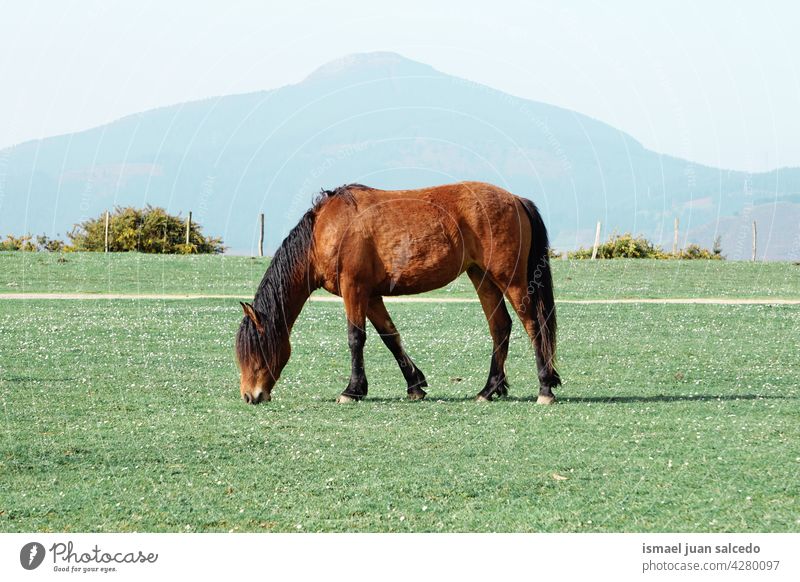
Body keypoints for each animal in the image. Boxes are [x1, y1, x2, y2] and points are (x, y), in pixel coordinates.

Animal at [238, 181, 560, 406]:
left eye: (257, 348)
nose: (250, 396)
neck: (326, 230)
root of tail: (515, 199)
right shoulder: (370, 296)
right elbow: (390, 336)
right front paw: (415, 385)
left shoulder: (354, 289)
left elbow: (356, 339)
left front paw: (352, 390)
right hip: (482, 277)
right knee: (500, 327)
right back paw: (489, 389)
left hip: (510, 280)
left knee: (533, 325)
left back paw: (544, 387)